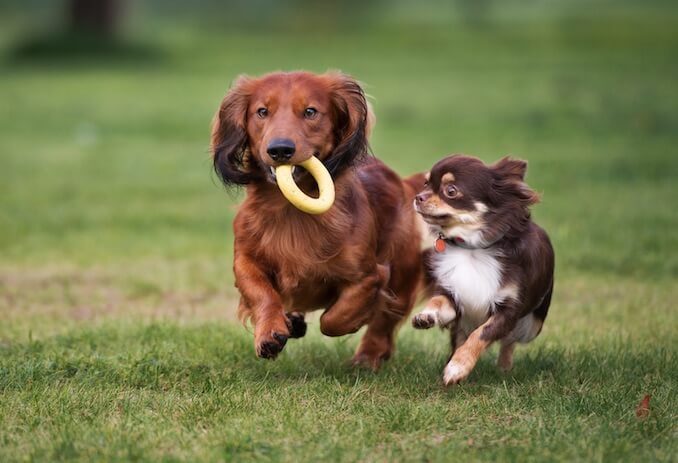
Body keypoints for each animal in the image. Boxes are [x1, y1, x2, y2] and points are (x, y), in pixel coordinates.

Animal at [412, 154, 556, 386]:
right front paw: (426, 316)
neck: (472, 247)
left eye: (451, 190)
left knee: (509, 341)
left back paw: (503, 368)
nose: (418, 197)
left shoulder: (508, 311)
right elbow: (438, 301)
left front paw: (458, 367)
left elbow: (481, 334)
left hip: (532, 326)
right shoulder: (455, 296)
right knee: (461, 337)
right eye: (426, 183)